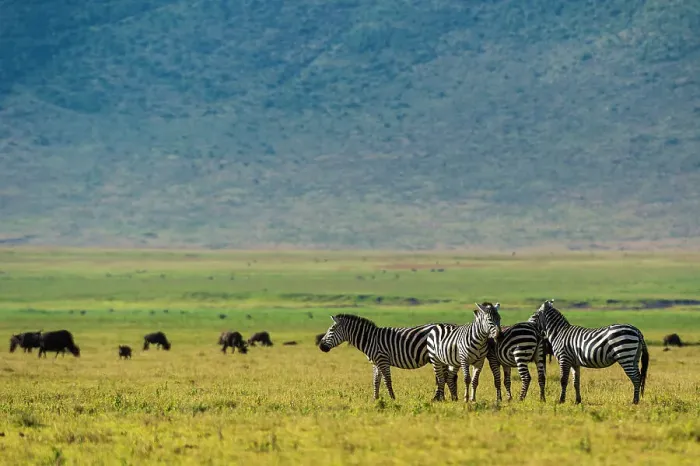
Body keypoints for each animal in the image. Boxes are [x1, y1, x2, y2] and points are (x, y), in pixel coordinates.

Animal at [318, 314, 458, 400]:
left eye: (331, 330)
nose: (320, 346)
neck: (370, 339)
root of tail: (451, 325)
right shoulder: (376, 363)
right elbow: (376, 381)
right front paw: (375, 399)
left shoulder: (383, 360)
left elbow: (387, 380)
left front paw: (392, 398)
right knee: (447, 377)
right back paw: (447, 398)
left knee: (444, 377)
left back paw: (440, 398)